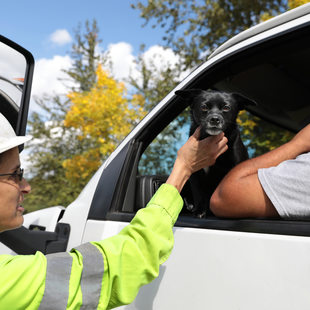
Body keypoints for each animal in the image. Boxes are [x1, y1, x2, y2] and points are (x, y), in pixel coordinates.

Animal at [176, 88, 256, 217]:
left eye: (226, 107)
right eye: (204, 107)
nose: (214, 119)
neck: (211, 139)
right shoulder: (194, 173)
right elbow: (198, 194)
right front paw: (199, 211)